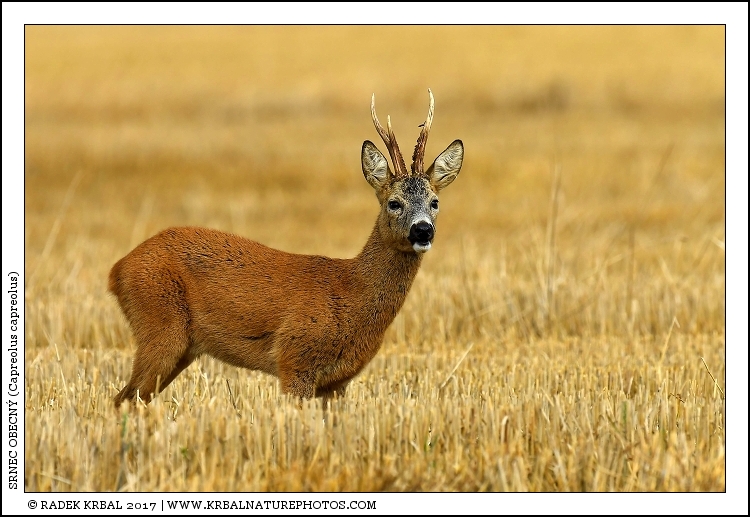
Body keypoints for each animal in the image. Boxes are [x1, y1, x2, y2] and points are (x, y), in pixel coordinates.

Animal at [109, 89, 464, 407]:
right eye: (394, 202)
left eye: (434, 202)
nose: (422, 229)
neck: (350, 291)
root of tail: (117, 271)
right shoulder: (294, 359)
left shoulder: (338, 382)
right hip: (160, 326)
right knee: (123, 398)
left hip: (181, 346)